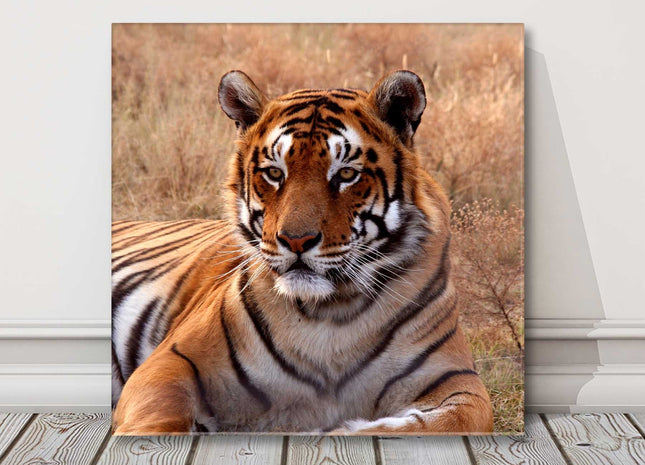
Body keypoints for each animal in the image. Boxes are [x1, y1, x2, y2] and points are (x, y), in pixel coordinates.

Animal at [111, 69, 493, 434]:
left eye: (346, 174)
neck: (331, 316)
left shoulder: (457, 380)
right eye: (274, 173)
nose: (295, 241)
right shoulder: (171, 361)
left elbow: (445, 423)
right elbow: (158, 416)